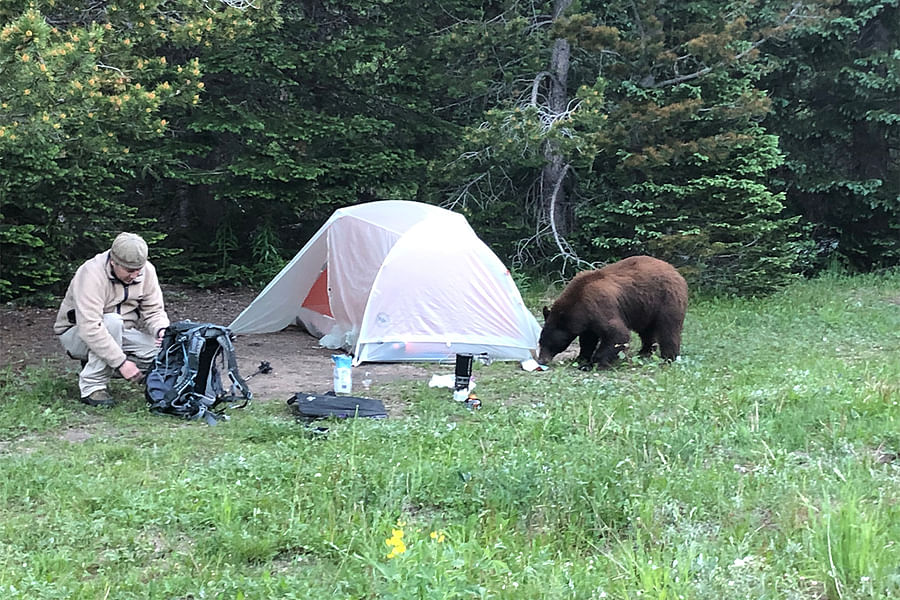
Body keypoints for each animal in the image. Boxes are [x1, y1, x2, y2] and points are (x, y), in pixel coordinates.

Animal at [537, 256, 688, 369]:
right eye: (540, 341)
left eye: (549, 343)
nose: (541, 360)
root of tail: (675, 271)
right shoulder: (587, 319)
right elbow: (587, 339)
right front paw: (581, 358)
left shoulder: (599, 306)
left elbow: (617, 334)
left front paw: (594, 363)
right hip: (646, 308)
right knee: (647, 331)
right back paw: (644, 352)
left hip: (667, 299)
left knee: (669, 329)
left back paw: (669, 358)